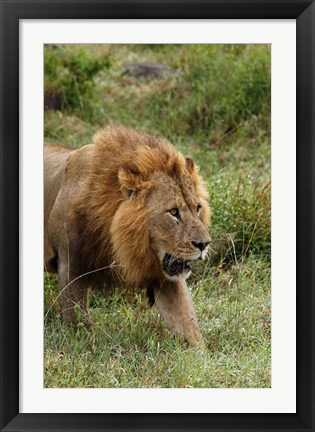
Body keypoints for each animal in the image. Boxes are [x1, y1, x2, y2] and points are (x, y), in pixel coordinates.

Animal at [44, 124, 211, 344]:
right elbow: (80, 328)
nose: (204, 244)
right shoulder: (70, 269)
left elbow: (189, 325)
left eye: (197, 208)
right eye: (174, 212)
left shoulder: (165, 276)